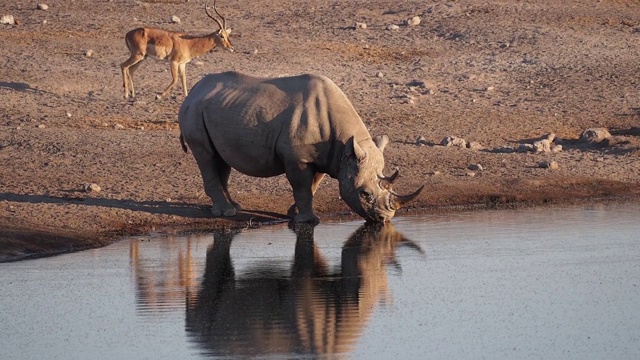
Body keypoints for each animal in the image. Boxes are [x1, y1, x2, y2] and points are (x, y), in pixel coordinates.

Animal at [178, 70, 422, 222]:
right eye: (364, 194)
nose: (384, 219)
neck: (346, 147)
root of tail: (193, 91)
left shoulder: (327, 156)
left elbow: (312, 186)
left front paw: (293, 213)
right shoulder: (298, 158)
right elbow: (302, 187)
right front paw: (308, 221)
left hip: (215, 108)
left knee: (220, 159)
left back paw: (234, 207)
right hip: (194, 112)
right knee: (206, 157)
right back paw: (226, 213)